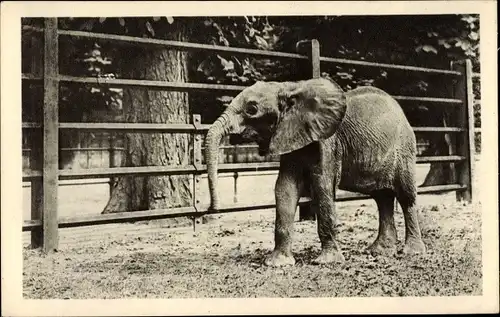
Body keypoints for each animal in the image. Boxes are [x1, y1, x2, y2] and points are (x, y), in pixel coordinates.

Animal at [203, 77, 426, 266]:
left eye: (252, 109)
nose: (212, 211)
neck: (289, 88)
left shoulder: (326, 142)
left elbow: (322, 187)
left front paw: (327, 262)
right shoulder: (291, 138)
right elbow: (284, 189)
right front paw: (277, 264)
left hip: (404, 148)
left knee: (405, 196)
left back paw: (412, 252)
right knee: (383, 198)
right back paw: (378, 252)